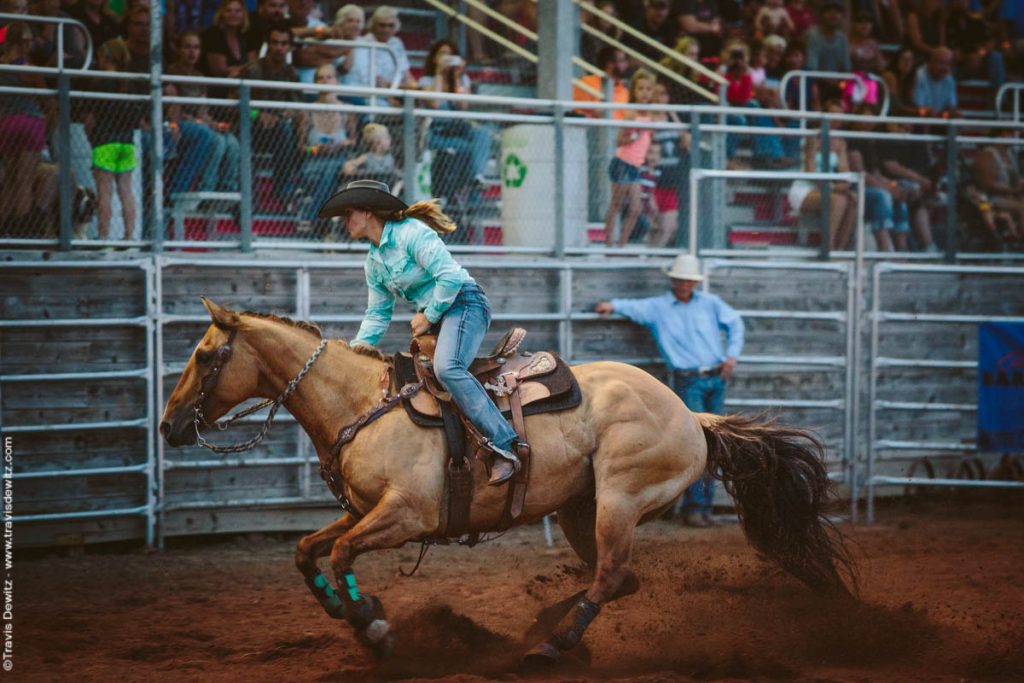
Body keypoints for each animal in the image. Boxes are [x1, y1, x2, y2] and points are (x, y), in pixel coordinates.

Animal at [161, 296, 856, 663]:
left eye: (204, 354)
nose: (168, 425)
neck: (363, 403)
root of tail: (691, 415)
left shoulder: (406, 515)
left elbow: (338, 553)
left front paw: (374, 626)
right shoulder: (363, 510)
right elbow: (310, 552)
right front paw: (351, 611)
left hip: (620, 501)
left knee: (611, 574)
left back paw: (553, 646)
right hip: (580, 510)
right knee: (621, 578)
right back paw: (543, 627)